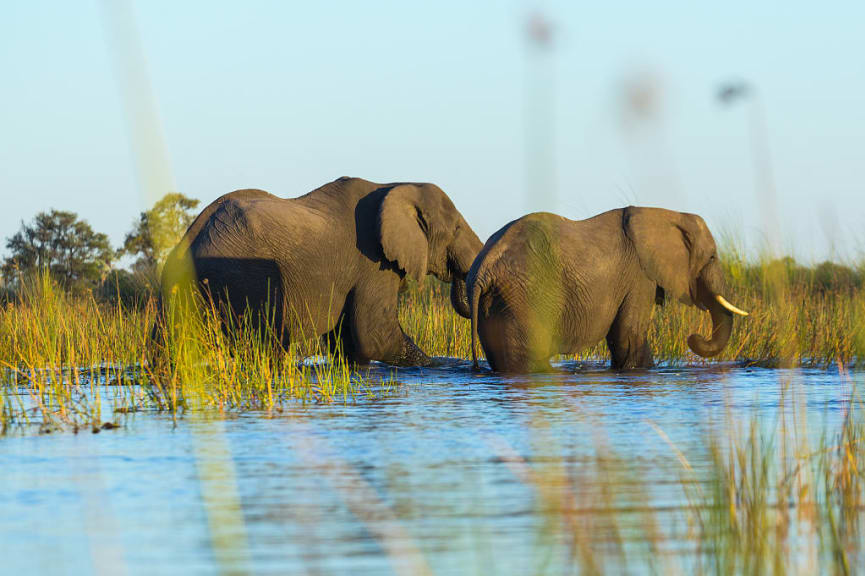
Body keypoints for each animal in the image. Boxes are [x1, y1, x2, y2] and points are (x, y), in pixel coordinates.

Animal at [159, 176, 482, 366]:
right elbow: (374, 336)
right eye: (456, 229)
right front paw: (438, 367)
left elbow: (348, 342)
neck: (398, 183)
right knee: (267, 347)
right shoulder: (372, 263)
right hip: (245, 279)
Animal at [470, 207, 744, 374]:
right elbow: (628, 334)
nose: (693, 337)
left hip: (497, 301)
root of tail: (485, 266)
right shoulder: (639, 274)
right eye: (711, 257)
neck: (665, 214)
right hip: (526, 294)